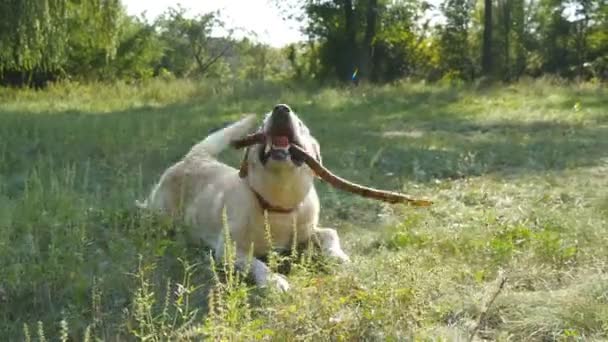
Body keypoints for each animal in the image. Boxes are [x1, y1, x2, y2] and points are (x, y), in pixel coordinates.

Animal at [135, 104, 350, 292]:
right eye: (262, 124)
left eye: (301, 124)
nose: (280, 109)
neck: (277, 204)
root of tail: (195, 157)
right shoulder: (228, 249)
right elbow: (255, 263)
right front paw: (273, 281)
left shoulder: (308, 230)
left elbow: (331, 233)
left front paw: (337, 255)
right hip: (161, 212)